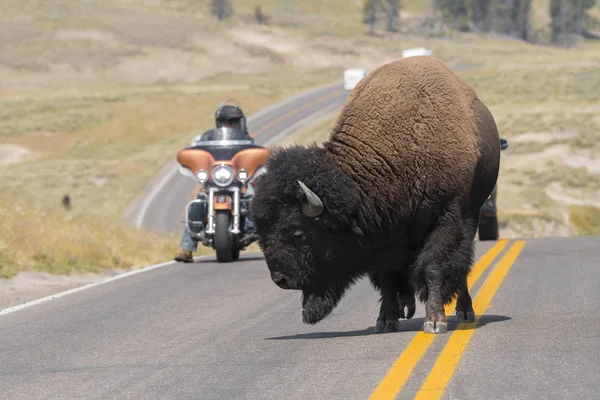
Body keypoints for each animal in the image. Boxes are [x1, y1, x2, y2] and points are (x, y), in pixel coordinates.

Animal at [248, 56, 502, 334]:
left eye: (298, 232)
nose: (281, 279)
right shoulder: (383, 236)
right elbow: (387, 277)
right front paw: (385, 320)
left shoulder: (446, 218)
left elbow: (433, 267)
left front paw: (434, 321)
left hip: (473, 213)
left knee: (462, 264)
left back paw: (465, 311)